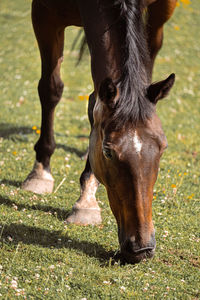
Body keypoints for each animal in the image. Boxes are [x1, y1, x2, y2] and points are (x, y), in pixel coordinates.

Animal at [21, 0, 177, 262]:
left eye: (163, 148)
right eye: (108, 152)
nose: (142, 248)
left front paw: (87, 198)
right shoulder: (44, 14)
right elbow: (51, 88)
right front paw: (40, 172)